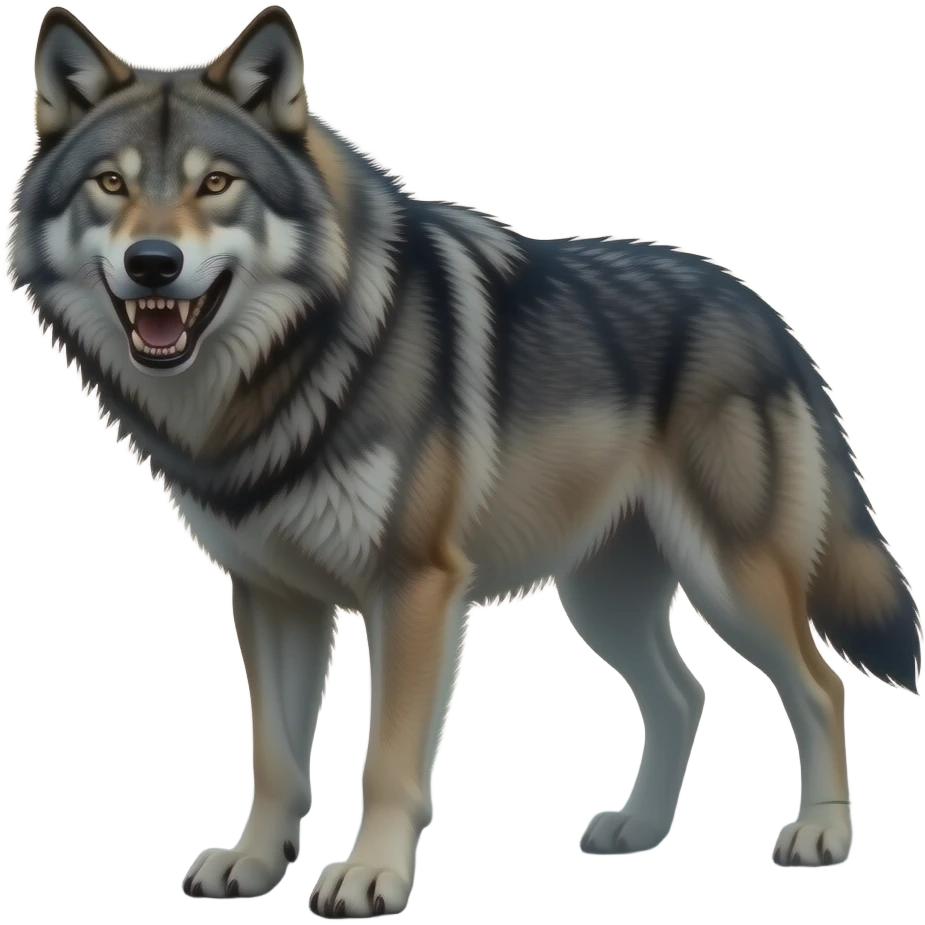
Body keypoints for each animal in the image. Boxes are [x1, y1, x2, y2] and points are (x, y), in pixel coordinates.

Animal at [6, 2, 922, 911]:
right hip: (604, 599)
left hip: (730, 578)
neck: (291, 367)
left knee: (820, 685)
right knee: (683, 693)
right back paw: (637, 830)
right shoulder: (271, 594)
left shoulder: (413, 587)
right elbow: (275, 759)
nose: (152, 262)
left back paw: (820, 835)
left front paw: (370, 874)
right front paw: (255, 864)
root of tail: (767, 316)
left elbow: (387, 758)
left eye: (216, 184)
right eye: (111, 185)